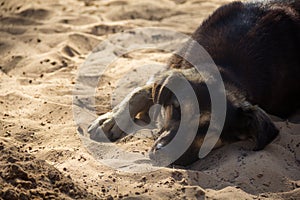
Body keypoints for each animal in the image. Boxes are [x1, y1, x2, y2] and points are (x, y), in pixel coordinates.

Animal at [88, 0, 298, 166]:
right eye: (177, 109)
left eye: (210, 129)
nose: (162, 153)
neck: (222, 68)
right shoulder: (169, 69)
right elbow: (139, 92)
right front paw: (110, 120)